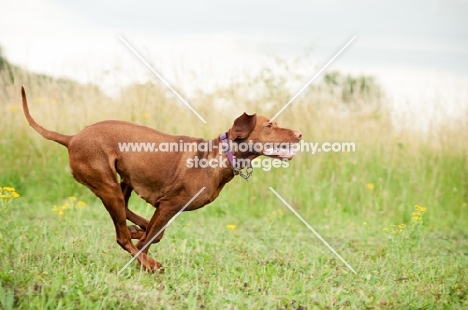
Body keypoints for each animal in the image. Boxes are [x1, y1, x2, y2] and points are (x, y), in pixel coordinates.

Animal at [22, 85, 302, 272]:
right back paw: (148, 261)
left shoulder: (166, 206)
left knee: (127, 216)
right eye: (269, 126)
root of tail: (71, 138)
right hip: (108, 184)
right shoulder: (169, 205)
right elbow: (149, 239)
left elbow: (155, 235)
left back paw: (137, 230)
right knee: (121, 237)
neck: (220, 156)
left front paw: (141, 235)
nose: (300, 134)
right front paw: (143, 258)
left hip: (123, 181)